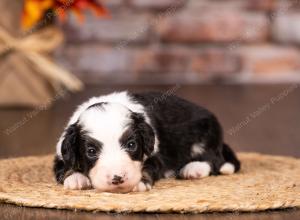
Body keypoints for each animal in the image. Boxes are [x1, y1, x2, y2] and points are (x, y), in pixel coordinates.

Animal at [54, 91, 240, 192]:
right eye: (91, 151)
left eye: (131, 145)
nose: (117, 178)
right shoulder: (61, 153)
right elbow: (64, 167)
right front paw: (76, 178)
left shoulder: (155, 154)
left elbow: (147, 167)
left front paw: (139, 182)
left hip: (205, 134)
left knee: (214, 159)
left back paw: (194, 169)